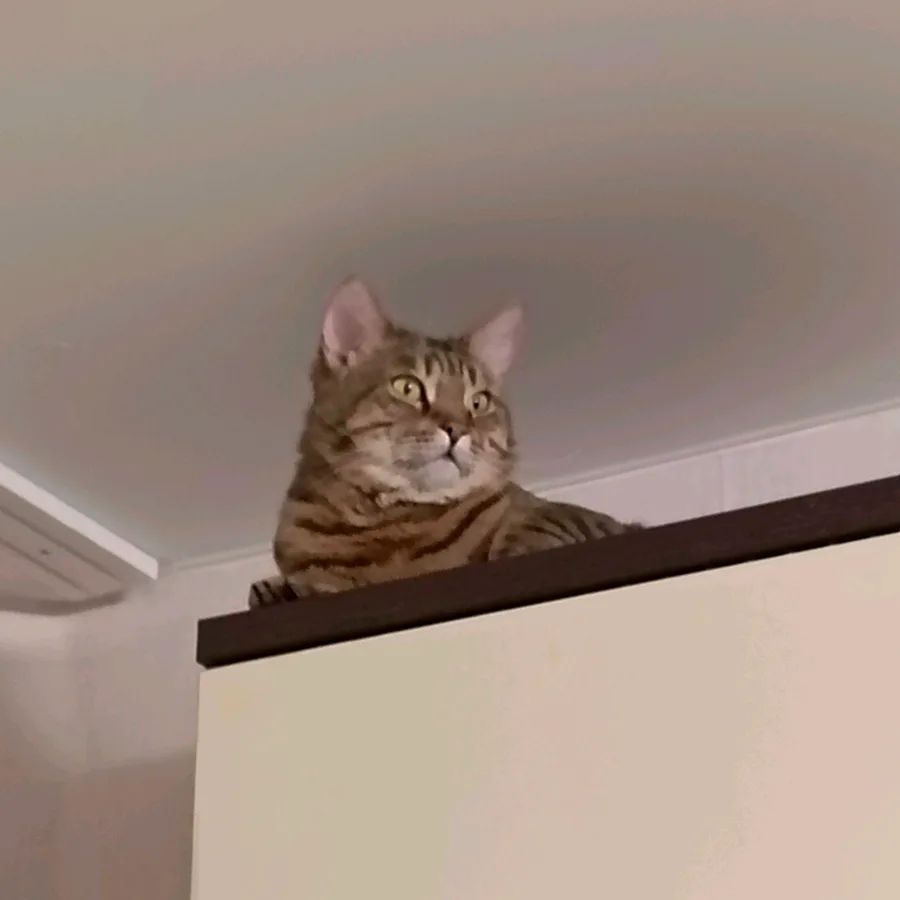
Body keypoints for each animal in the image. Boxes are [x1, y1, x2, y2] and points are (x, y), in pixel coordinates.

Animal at [248, 277, 643, 607]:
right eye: (407, 387)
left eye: (478, 402)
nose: (457, 430)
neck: (387, 524)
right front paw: (275, 589)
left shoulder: (572, 520)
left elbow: (531, 532)